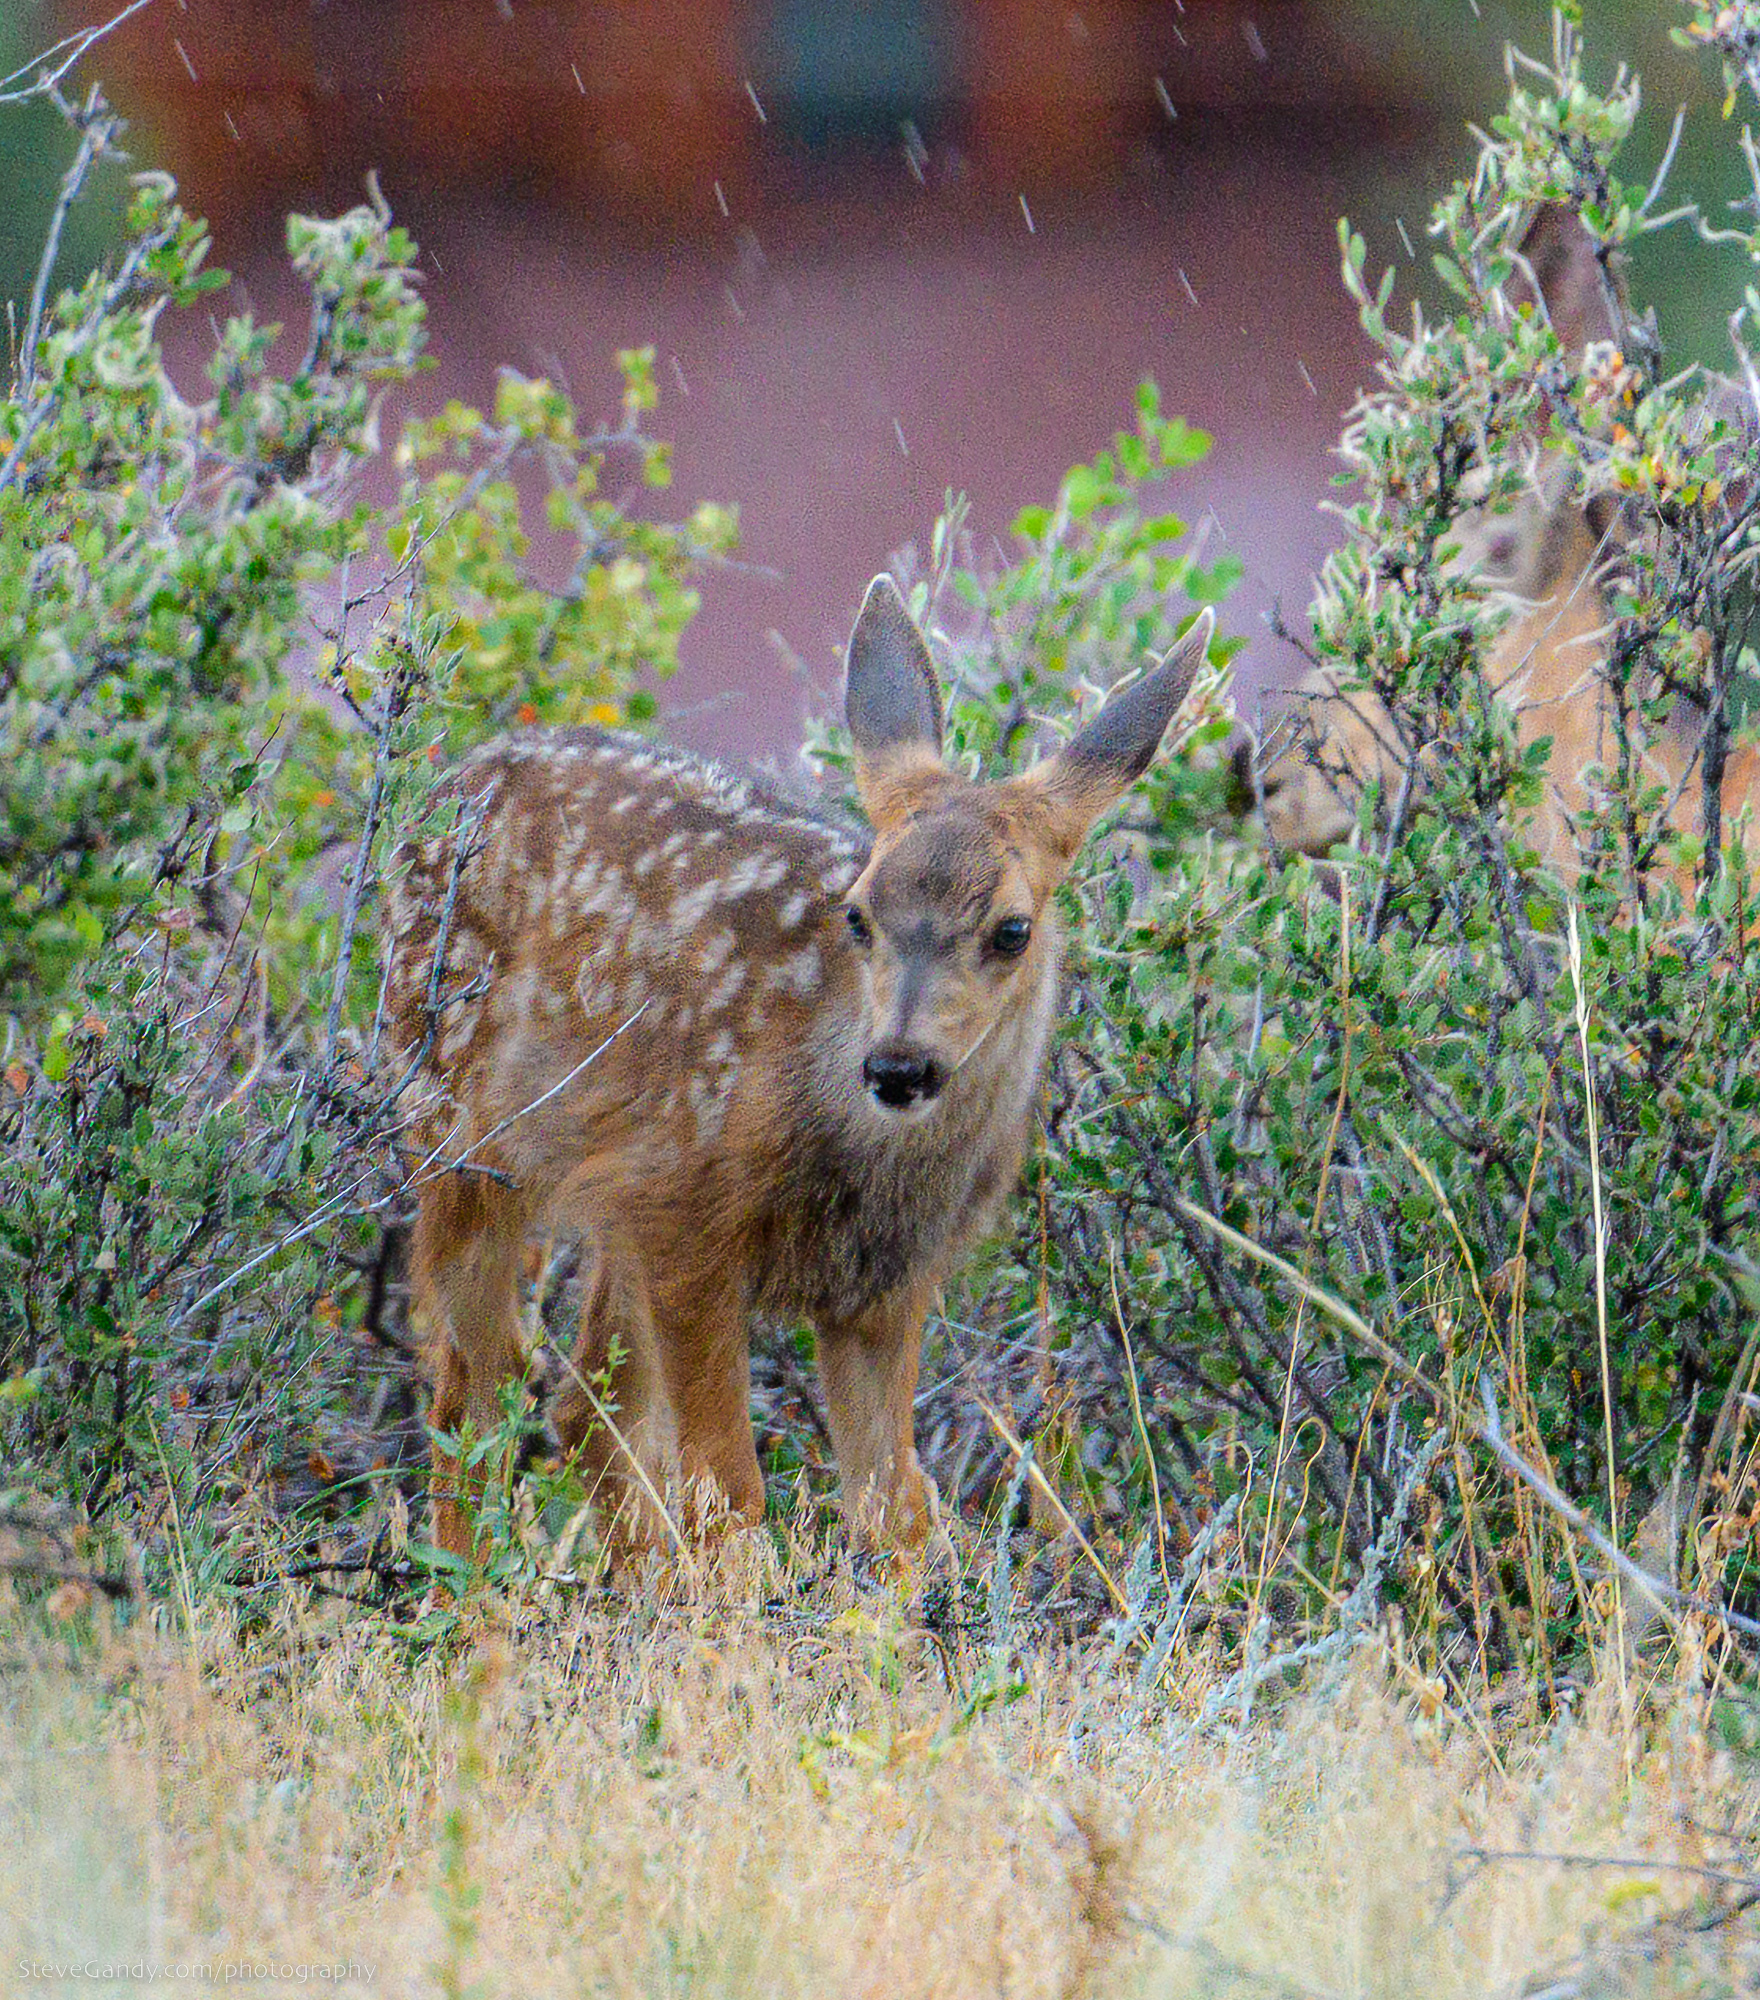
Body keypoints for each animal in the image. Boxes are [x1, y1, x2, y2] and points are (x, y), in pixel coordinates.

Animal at [383, 578, 1213, 1565]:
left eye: (1012, 929)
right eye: (857, 914)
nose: (898, 1065)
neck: (867, 1161)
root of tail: (451, 780)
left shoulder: (888, 1284)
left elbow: (895, 1506)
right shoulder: (689, 1216)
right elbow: (731, 1491)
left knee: (585, 1402)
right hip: (453, 1122)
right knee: (480, 1385)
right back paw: (463, 1586)